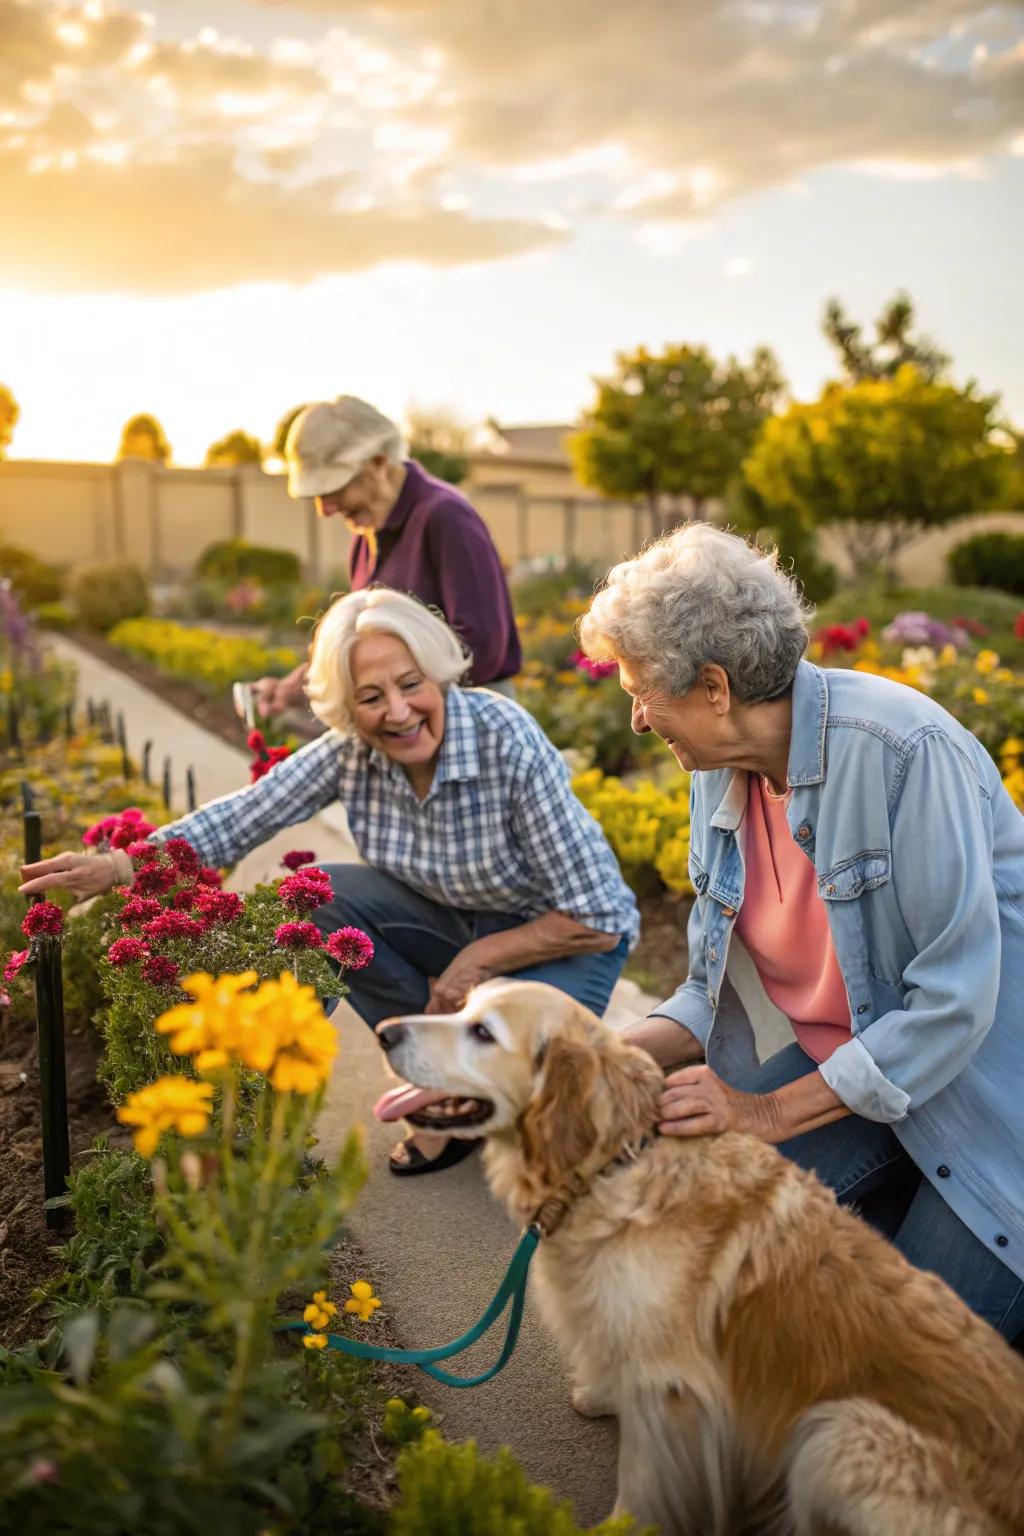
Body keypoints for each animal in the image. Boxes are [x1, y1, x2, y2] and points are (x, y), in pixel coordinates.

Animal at [376, 983, 1024, 1536]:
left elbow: (643, 1480)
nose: (384, 1032)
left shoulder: (675, 1396)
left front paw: (621, 1527)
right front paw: (603, 1394)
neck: (621, 1163)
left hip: (840, 1435)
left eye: (482, 1033)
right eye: (464, 1008)